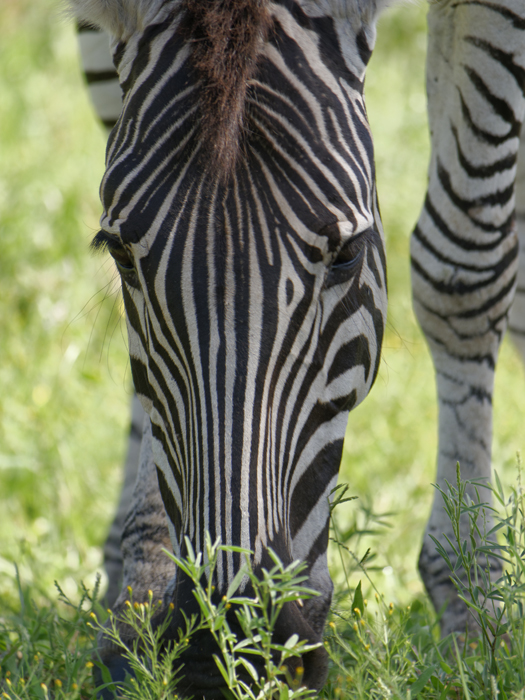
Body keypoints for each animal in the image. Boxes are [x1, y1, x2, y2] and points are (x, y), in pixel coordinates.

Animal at [72, 0, 525, 696]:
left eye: (348, 255)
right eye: (118, 255)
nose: (226, 657)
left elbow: (463, 265)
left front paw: (473, 594)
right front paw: (144, 585)